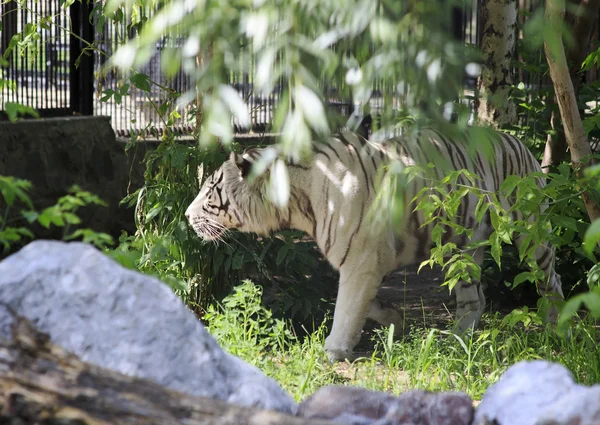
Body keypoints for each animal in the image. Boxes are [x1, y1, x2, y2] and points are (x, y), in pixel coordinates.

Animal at [185, 128, 564, 362]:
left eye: (210, 191)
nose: (187, 216)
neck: (296, 203)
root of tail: (516, 141)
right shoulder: (362, 263)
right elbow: (364, 304)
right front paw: (395, 321)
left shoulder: (361, 261)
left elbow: (347, 307)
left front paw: (334, 350)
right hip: (462, 248)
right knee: (475, 298)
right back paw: (455, 341)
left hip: (529, 231)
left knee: (551, 277)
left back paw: (558, 325)